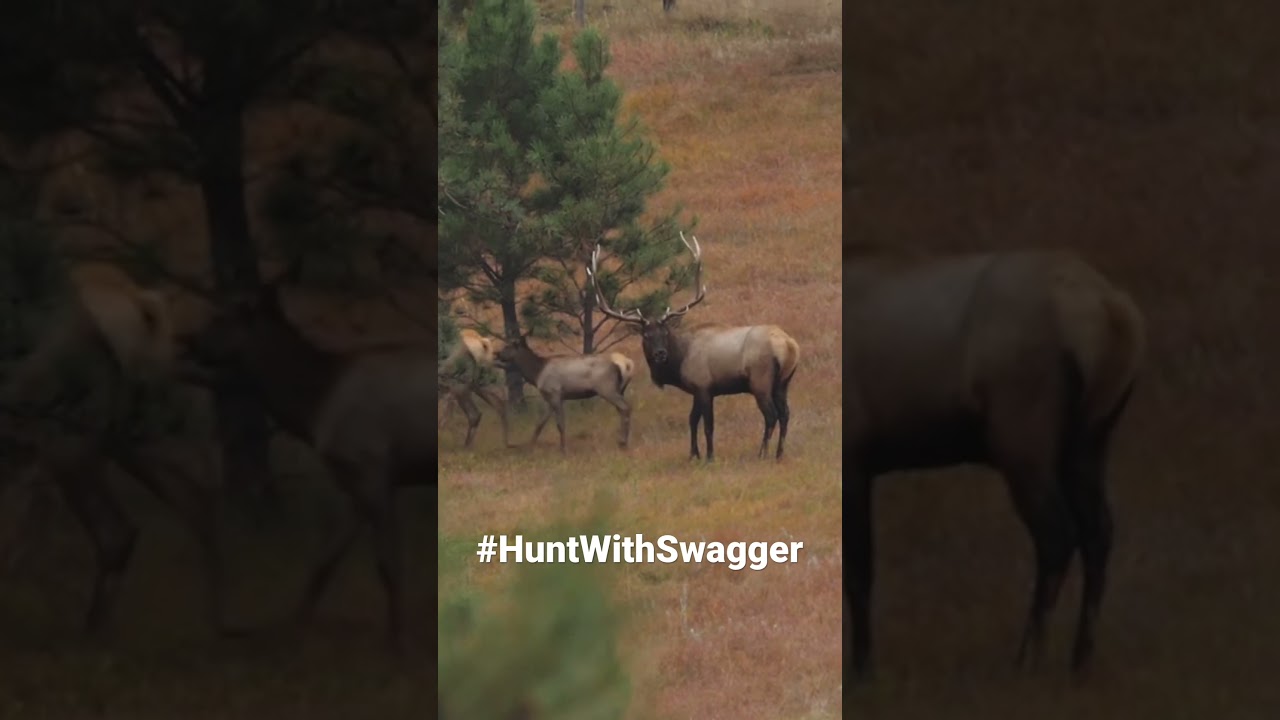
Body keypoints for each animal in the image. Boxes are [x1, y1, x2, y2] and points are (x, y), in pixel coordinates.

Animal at [177, 262, 437, 654]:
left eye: (225, 315)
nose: (188, 340)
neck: (312, 409)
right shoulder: (350, 481)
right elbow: (325, 560)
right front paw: (296, 627)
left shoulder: (372, 470)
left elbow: (388, 564)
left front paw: (399, 641)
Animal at [492, 336, 634, 454]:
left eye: (507, 346)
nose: (496, 354)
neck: (536, 374)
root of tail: (627, 364)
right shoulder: (550, 399)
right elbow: (540, 423)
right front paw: (530, 447)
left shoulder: (555, 394)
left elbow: (560, 424)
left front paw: (563, 449)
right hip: (619, 389)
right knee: (623, 409)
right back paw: (622, 440)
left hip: (607, 389)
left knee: (625, 407)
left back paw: (623, 442)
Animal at [589, 232, 800, 462]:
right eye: (646, 335)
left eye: (665, 332)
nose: (660, 353)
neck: (679, 362)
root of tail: (789, 346)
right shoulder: (697, 391)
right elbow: (692, 420)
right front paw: (693, 455)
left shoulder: (703, 386)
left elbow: (707, 425)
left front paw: (709, 456)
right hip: (783, 382)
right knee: (786, 414)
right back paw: (779, 453)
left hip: (760, 380)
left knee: (771, 415)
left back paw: (762, 453)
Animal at [841, 245, 1146, 685]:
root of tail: (1114, 314)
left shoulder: (853, 456)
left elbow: (858, 571)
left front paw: (863, 671)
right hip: (1090, 438)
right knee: (1098, 531)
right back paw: (1079, 663)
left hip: (1022, 434)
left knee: (1057, 534)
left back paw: (1027, 662)